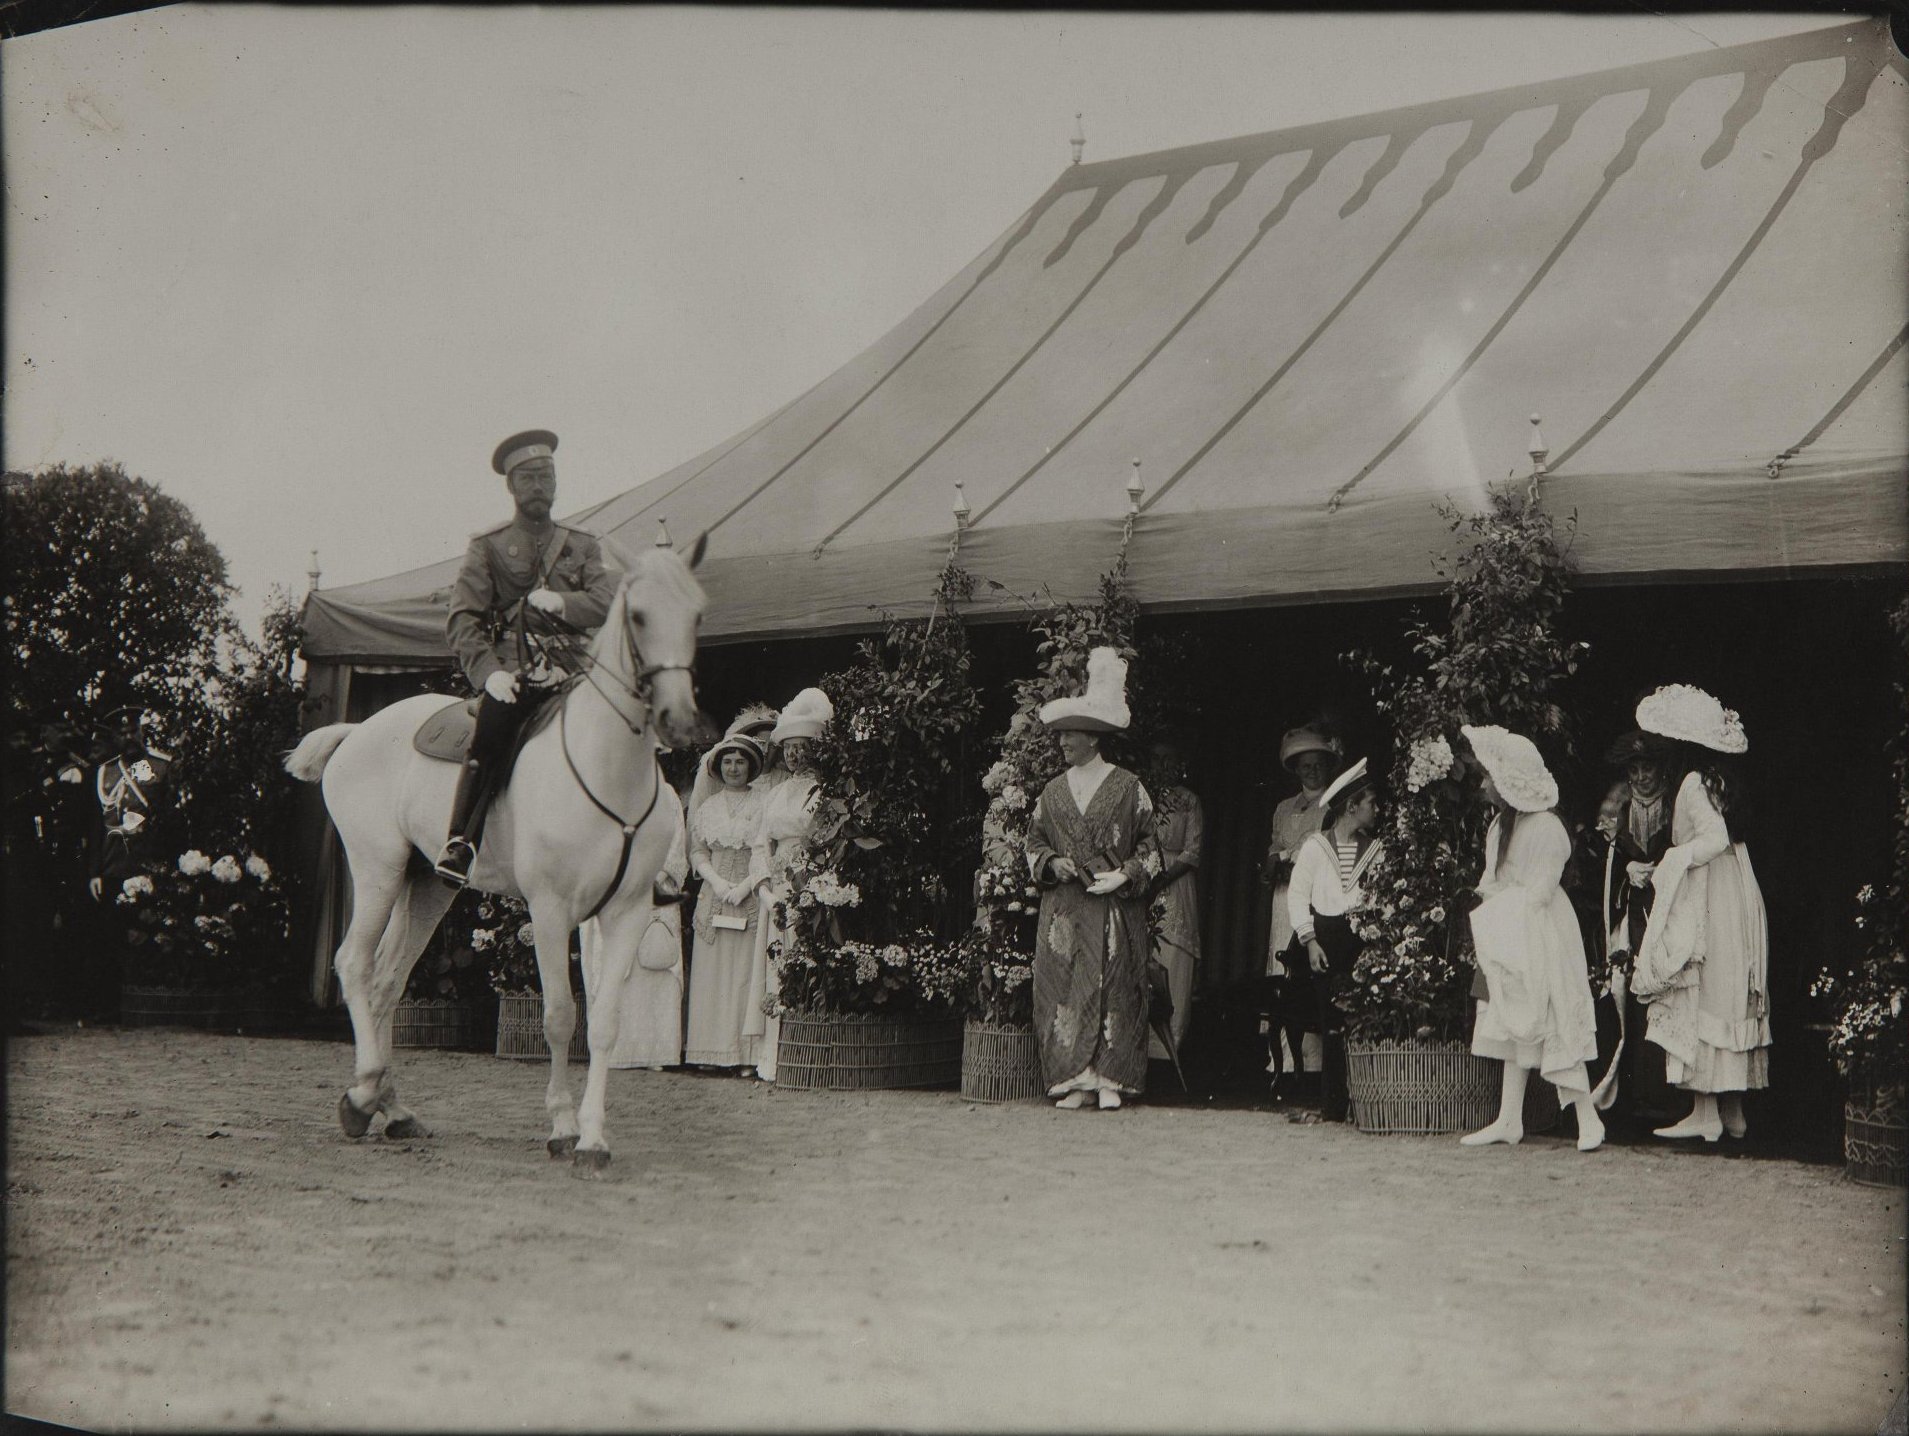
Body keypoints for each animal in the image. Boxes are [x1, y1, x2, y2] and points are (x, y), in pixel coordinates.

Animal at [290, 538, 717, 1176]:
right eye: (639, 615)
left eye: (695, 616)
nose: (679, 719)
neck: (607, 768)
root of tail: (356, 731)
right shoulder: (551, 909)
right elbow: (561, 1017)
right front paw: (563, 1128)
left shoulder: (626, 912)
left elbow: (607, 1023)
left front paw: (594, 1138)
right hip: (377, 870)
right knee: (354, 964)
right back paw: (362, 1094)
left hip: (429, 884)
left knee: (389, 979)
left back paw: (393, 1109)